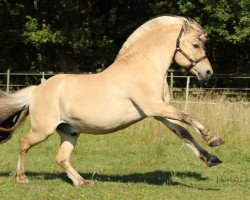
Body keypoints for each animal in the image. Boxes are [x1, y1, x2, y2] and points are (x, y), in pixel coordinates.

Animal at [0, 15, 225, 186]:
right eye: (195, 45)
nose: (207, 72)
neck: (144, 65)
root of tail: (37, 90)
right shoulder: (154, 107)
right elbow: (188, 117)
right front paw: (214, 139)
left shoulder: (158, 113)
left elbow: (183, 132)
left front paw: (211, 158)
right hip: (43, 129)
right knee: (23, 143)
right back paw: (21, 178)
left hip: (70, 131)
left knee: (61, 158)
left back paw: (82, 182)